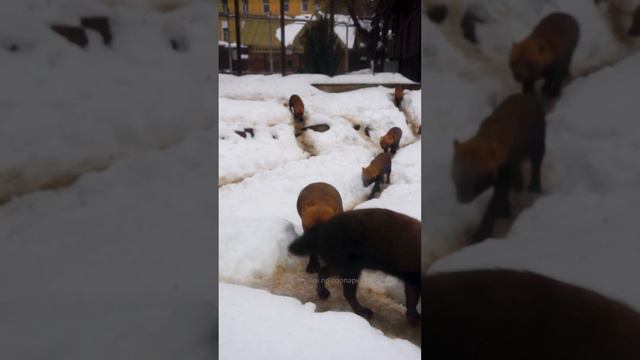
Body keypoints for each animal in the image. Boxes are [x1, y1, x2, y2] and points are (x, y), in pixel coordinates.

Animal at [288, 208, 420, 326]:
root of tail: (324, 228)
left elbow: (411, 301)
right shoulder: (413, 279)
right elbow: (412, 301)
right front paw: (415, 320)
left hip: (342, 265)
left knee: (323, 272)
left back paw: (323, 293)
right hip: (349, 266)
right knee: (347, 292)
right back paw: (363, 311)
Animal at [450, 94, 544, 243]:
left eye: (476, 177)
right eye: (456, 173)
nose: (462, 198)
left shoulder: (505, 173)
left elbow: (494, 204)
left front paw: (481, 234)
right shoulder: (504, 172)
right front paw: (505, 210)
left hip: (538, 143)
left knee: (536, 163)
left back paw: (534, 187)